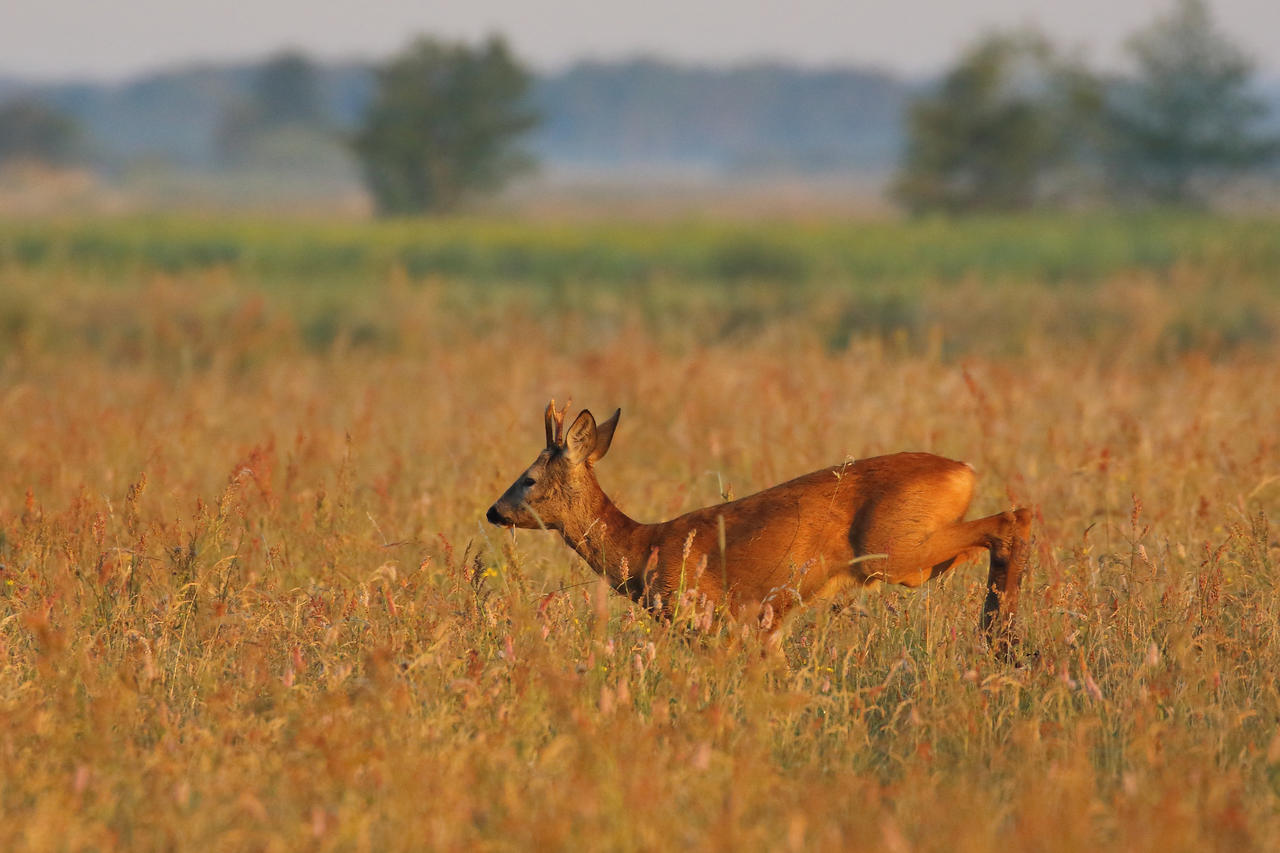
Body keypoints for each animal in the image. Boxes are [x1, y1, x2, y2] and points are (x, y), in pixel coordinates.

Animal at [483, 399, 1034, 645]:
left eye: (529, 479)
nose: (493, 511)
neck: (645, 547)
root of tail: (964, 470)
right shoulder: (763, 625)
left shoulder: (704, 614)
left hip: (895, 548)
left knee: (1012, 518)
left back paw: (998, 635)